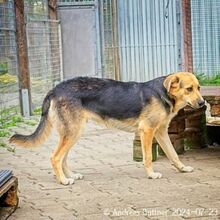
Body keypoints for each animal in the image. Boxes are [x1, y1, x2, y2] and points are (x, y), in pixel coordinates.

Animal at [9, 72, 205, 186]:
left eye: (198, 88)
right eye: (189, 89)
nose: (203, 103)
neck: (162, 94)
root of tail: (55, 90)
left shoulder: (161, 132)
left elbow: (173, 154)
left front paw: (182, 169)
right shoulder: (147, 131)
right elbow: (148, 157)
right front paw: (151, 174)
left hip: (72, 133)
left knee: (62, 158)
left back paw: (71, 175)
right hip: (73, 132)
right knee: (55, 157)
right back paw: (63, 180)